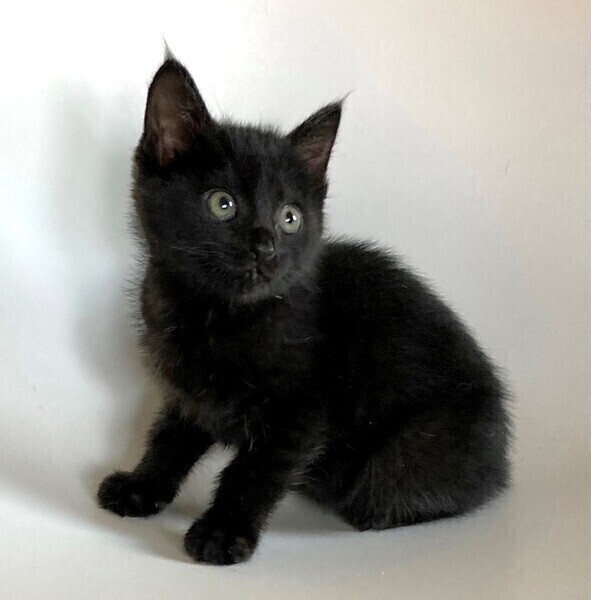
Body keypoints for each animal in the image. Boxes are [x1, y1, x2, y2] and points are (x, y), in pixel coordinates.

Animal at [97, 55, 511, 565]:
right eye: (222, 204)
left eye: (289, 217)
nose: (267, 248)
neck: (216, 314)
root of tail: (503, 462)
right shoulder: (191, 391)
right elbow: (169, 438)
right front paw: (141, 487)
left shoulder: (302, 411)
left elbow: (253, 471)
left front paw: (223, 531)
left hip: (412, 450)